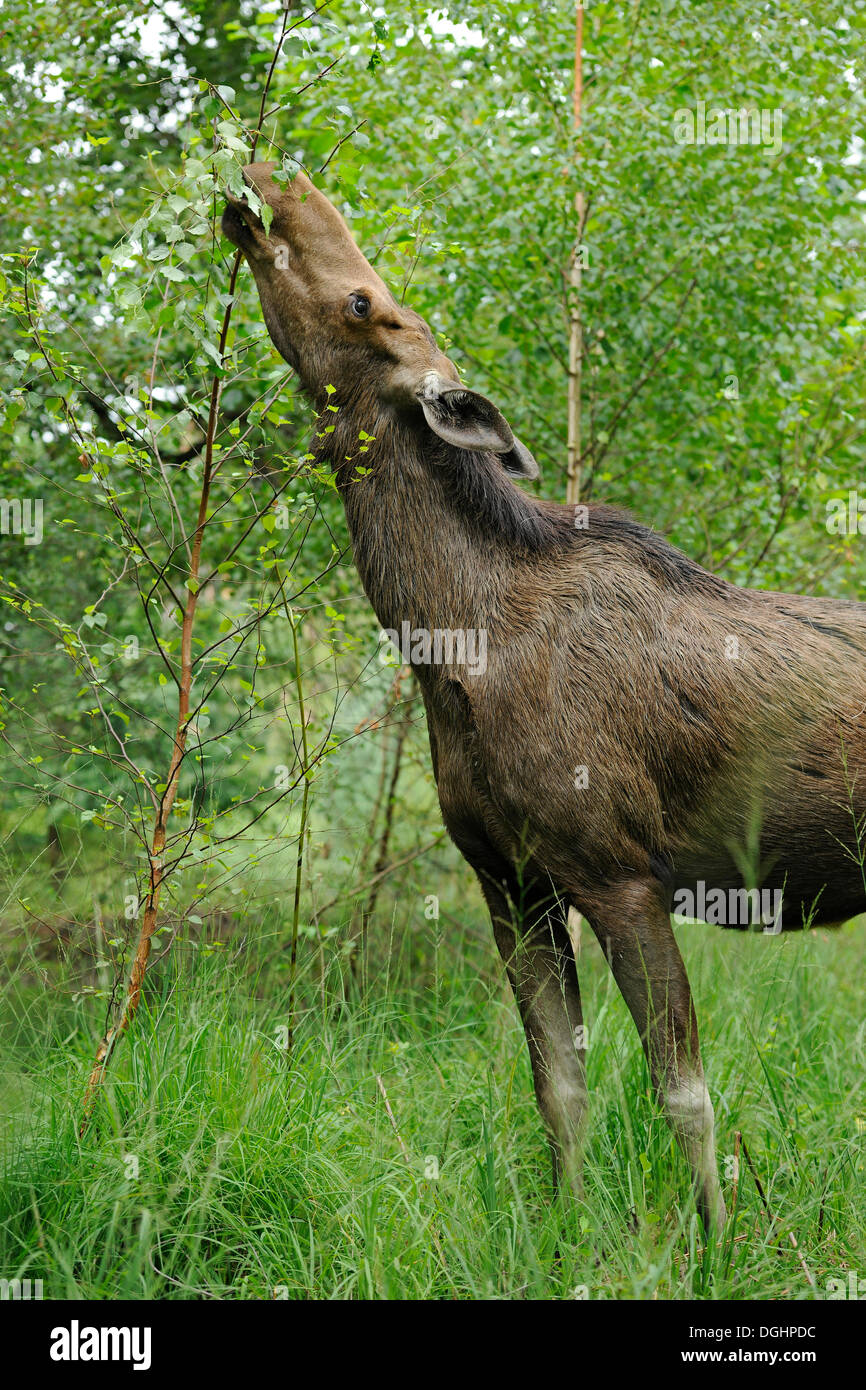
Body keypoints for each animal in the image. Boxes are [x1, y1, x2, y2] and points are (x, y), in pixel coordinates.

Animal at [223, 162, 866, 1233]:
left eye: (365, 304)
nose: (277, 176)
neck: (449, 640)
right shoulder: (509, 883)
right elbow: (557, 1087)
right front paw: (568, 1231)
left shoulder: (621, 874)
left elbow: (683, 1092)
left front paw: (714, 1238)